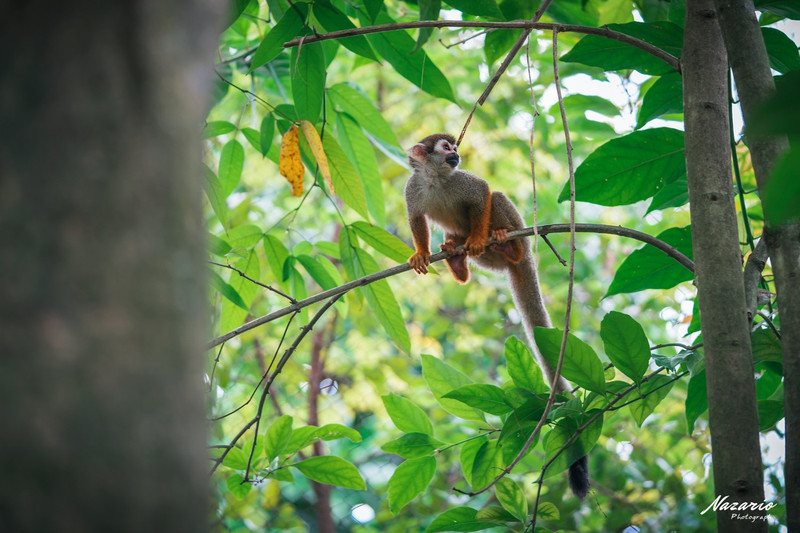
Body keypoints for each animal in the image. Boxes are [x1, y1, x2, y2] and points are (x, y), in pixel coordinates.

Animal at [406, 133, 588, 498]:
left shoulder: (463, 182)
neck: (436, 180)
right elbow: (417, 219)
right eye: (445, 148)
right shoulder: (412, 188)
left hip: (517, 231)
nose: (456, 154)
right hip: (487, 264)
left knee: (498, 199)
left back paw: (506, 245)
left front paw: (476, 237)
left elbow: (483, 193)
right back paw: (457, 260)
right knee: (463, 247)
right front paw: (421, 252)